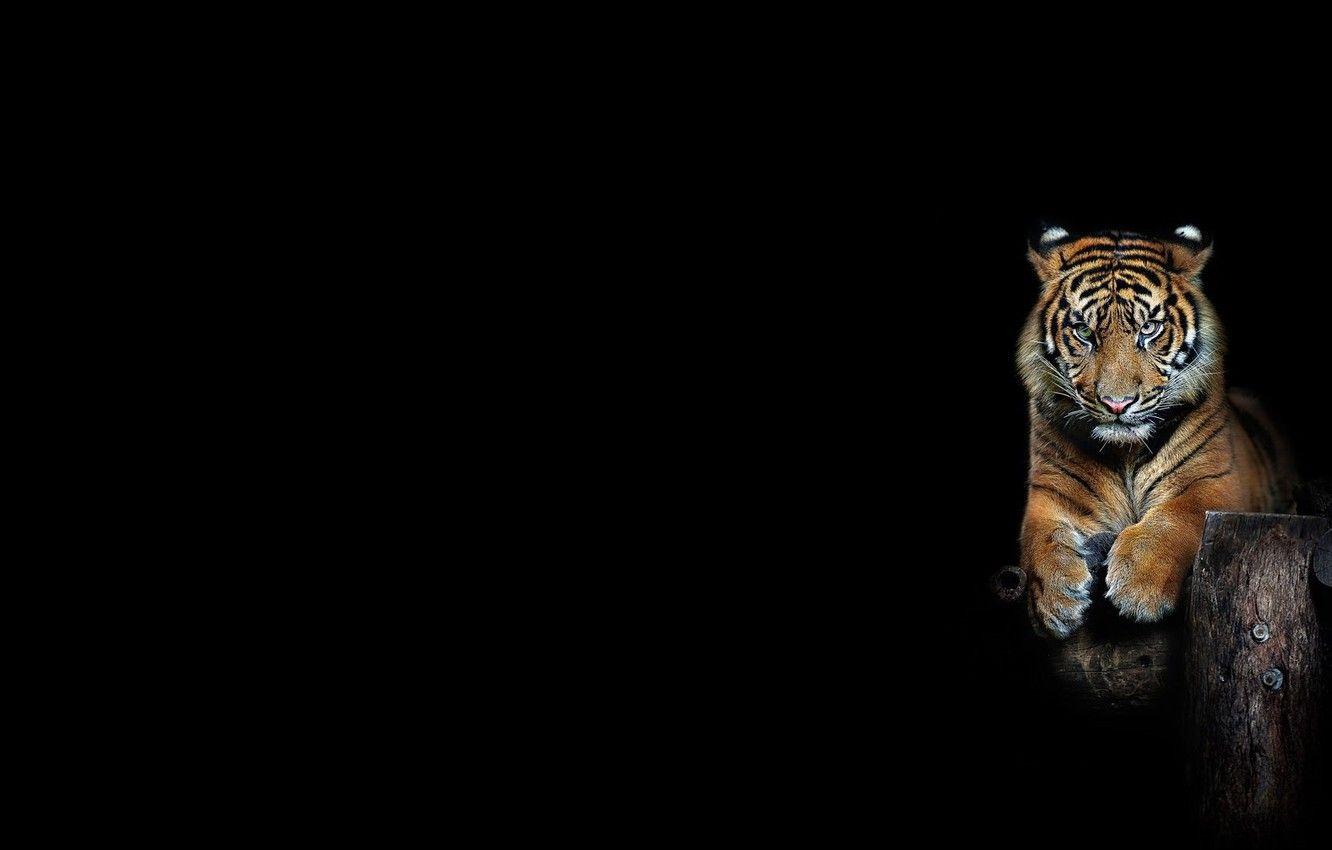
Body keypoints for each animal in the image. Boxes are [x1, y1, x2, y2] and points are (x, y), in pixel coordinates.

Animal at [1017, 226, 1295, 638]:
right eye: (1084, 331)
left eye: (1148, 329)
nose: (1117, 404)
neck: (1124, 451)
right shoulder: (1051, 490)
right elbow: (1039, 537)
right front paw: (1054, 601)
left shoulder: (1214, 483)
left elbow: (1177, 516)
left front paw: (1138, 585)